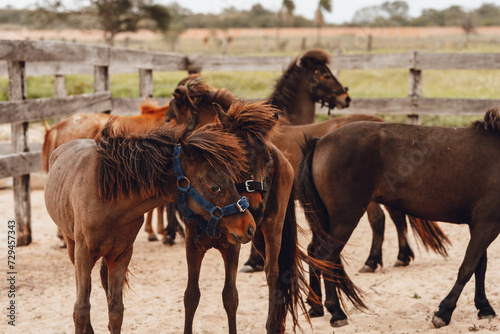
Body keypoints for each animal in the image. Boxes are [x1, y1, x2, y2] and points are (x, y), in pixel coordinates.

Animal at [44, 118, 256, 332]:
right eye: (215, 187)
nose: (249, 226)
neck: (106, 198)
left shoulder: (121, 255)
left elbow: (116, 310)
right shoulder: (83, 254)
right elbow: (80, 309)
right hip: (72, 247)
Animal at [294, 107, 500, 328]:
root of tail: (320, 143)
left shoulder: (479, 224)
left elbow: (480, 266)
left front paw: (484, 307)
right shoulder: (487, 224)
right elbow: (468, 267)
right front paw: (444, 312)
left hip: (326, 221)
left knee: (313, 252)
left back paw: (316, 307)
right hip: (343, 220)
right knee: (327, 258)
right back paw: (336, 312)